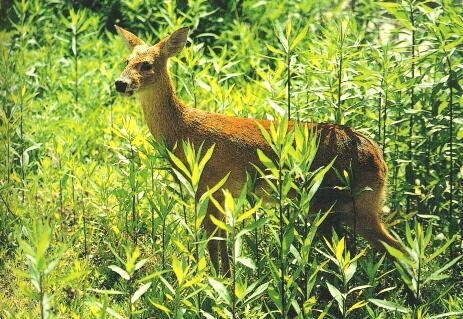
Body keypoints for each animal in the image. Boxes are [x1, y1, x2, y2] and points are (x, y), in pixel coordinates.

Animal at [114, 25, 404, 276]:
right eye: (126, 61)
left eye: (147, 64)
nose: (120, 83)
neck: (183, 131)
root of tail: (379, 158)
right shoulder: (222, 194)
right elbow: (221, 243)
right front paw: (226, 281)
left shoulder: (209, 185)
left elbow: (214, 242)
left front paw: (217, 285)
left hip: (342, 206)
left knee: (397, 250)